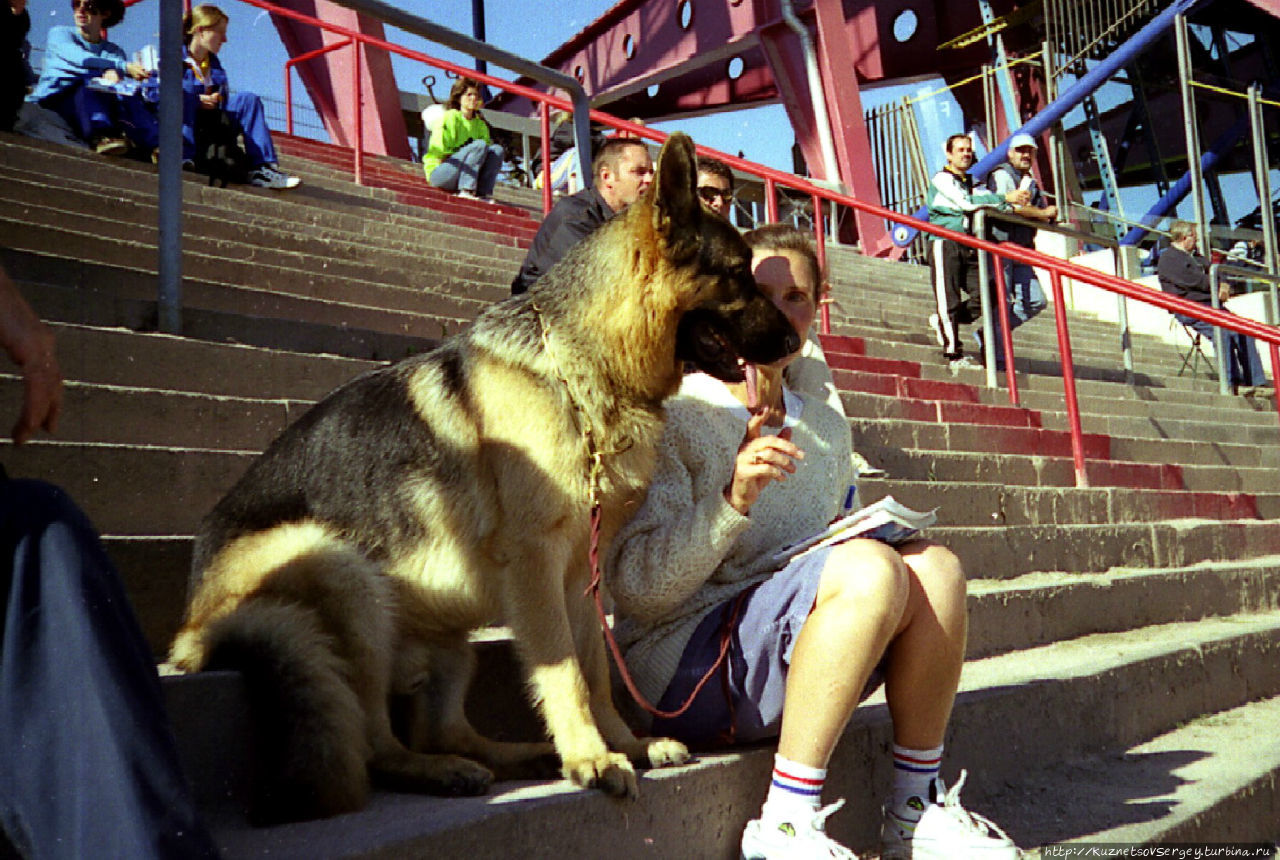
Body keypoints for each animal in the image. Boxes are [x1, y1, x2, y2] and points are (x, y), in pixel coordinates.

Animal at [165, 131, 793, 824]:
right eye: (738, 274)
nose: (797, 339)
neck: (579, 367)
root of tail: (193, 627)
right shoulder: (537, 568)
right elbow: (565, 672)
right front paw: (591, 757)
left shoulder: (580, 577)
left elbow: (596, 669)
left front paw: (623, 743)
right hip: (341, 571)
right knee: (376, 742)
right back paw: (440, 770)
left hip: (448, 639)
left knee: (440, 727)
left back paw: (512, 757)